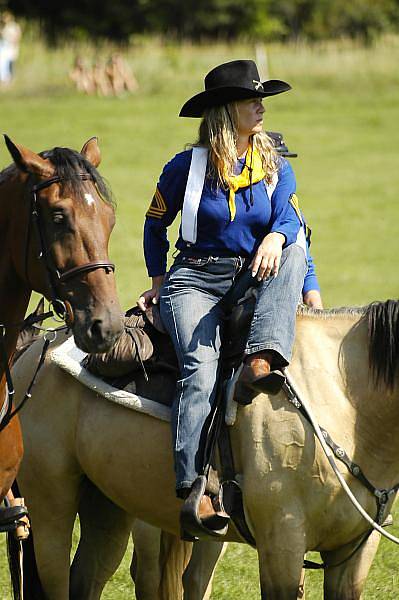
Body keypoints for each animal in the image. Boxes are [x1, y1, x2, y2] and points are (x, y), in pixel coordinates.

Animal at [7, 300, 399, 596]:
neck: (340, 397)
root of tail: (35, 351)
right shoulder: (282, 545)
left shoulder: (354, 553)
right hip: (50, 507)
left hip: (107, 507)